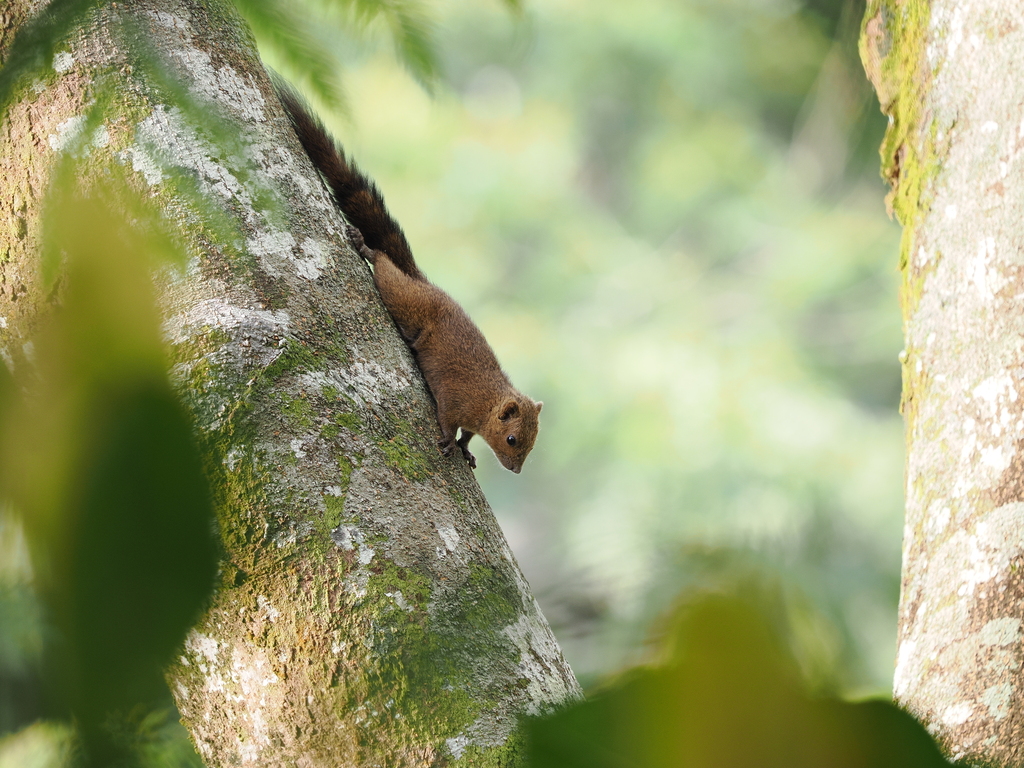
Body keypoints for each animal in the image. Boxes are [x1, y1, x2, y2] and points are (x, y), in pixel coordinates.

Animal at [275, 82, 542, 473]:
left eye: (532, 444)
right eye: (511, 439)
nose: (516, 469)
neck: (487, 401)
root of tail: (423, 282)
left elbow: (468, 435)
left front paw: (465, 448)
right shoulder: (455, 398)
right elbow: (447, 420)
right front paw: (448, 441)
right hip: (405, 298)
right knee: (387, 272)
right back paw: (367, 249)